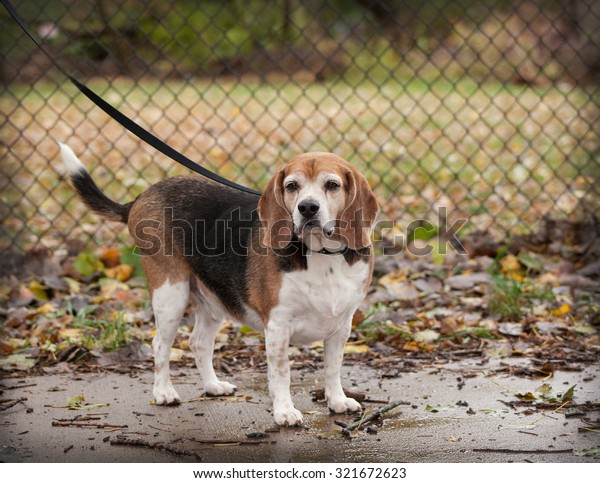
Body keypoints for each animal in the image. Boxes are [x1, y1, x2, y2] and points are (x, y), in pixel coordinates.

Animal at [62, 145, 380, 428]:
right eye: (292, 186)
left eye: (332, 185)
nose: (307, 208)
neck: (322, 254)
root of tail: (143, 195)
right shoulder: (277, 326)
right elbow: (282, 373)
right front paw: (285, 412)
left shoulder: (342, 325)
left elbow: (333, 369)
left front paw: (337, 401)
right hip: (170, 294)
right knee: (160, 345)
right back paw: (163, 392)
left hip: (211, 300)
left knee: (198, 343)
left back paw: (213, 386)